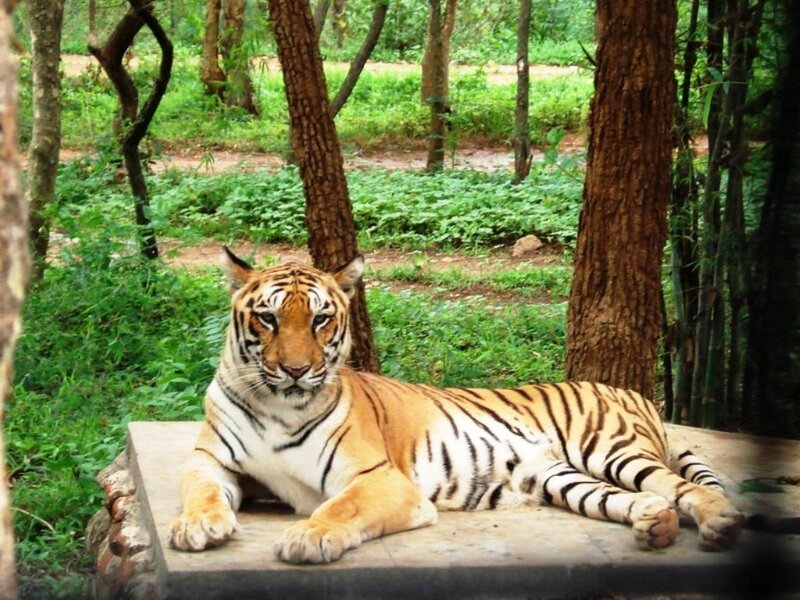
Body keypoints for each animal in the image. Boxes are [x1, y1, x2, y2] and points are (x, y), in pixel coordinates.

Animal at [168, 248, 745, 564]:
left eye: (320, 319)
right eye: (267, 319)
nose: (294, 370)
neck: (278, 406)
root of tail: (632, 390)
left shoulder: (379, 479)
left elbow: (339, 507)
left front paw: (308, 536)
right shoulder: (210, 461)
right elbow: (198, 491)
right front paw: (195, 526)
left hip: (611, 447)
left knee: (683, 486)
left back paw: (720, 523)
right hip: (563, 477)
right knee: (638, 498)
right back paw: (655, 523)